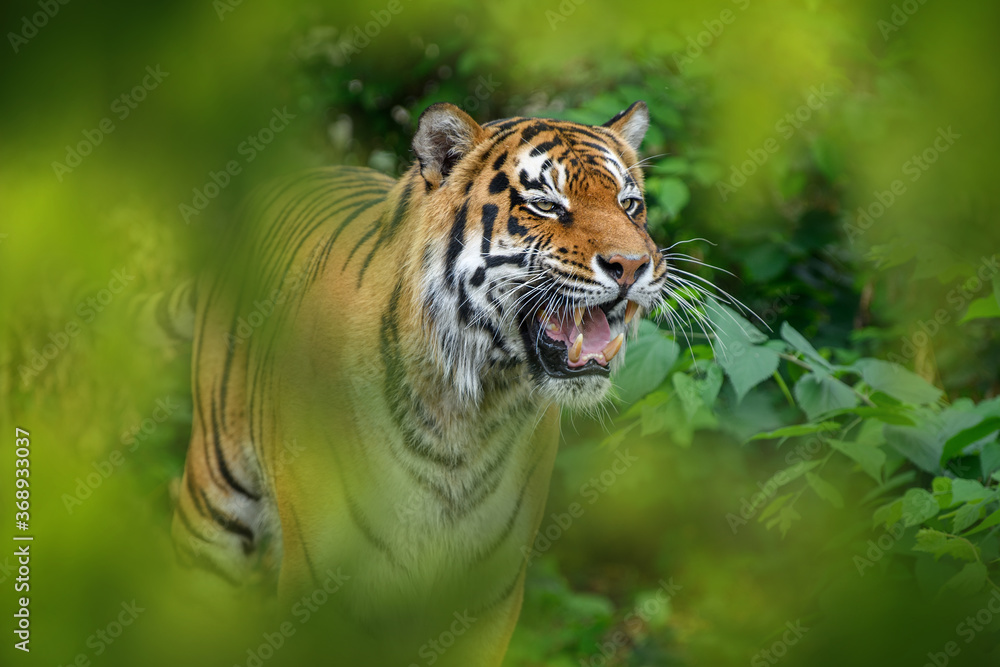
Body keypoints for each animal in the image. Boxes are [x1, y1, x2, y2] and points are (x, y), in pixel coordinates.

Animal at [173, 100, 668, 667]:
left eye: (630, 205)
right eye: (545, 204)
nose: (632, 265)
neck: (466, 413)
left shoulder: (488, 595)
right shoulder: (320, 584)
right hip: (212, 508)